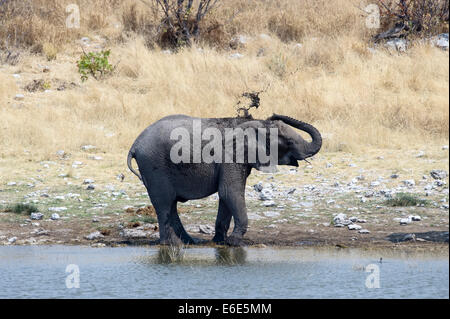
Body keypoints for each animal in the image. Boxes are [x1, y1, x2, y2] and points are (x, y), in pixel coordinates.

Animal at [128, 114, 322, 246]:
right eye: (288, 142)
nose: (274, 114)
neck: (254, 124)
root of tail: (134, 146)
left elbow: (226, 196)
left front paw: (221, 242)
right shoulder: (231, 156)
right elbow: (230, 192)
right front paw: (235, 243)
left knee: (171, 205)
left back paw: (190, 242)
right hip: (154, 166)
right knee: (164, 204)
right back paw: (172, 245)